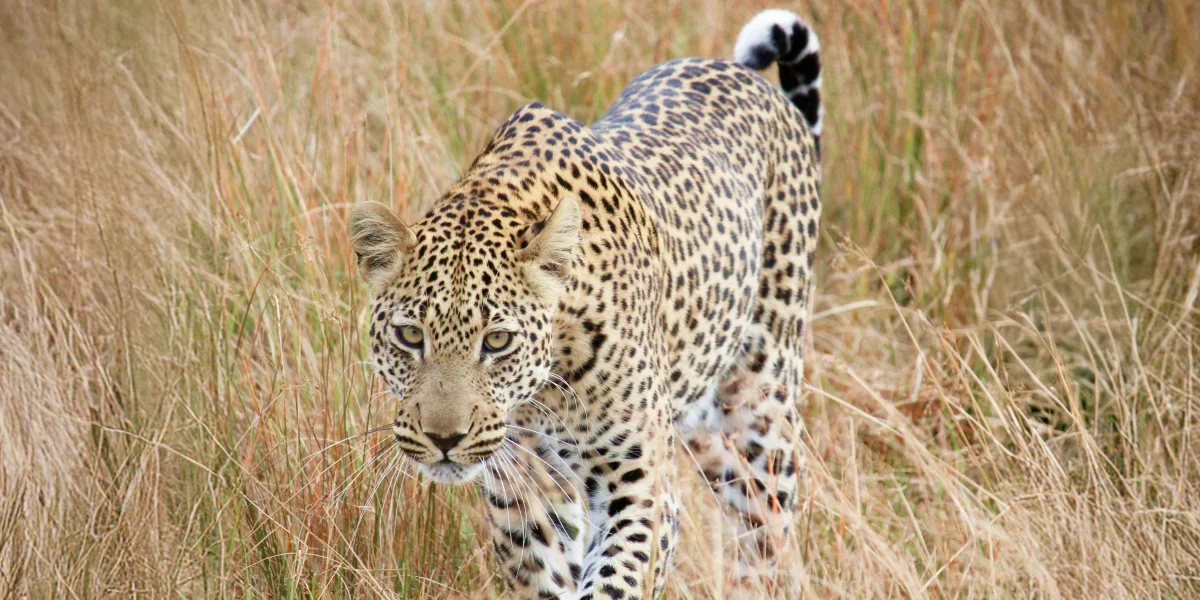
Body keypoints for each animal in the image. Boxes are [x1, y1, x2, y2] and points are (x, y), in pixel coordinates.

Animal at [349, 9, 822, 599]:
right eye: (410, 336)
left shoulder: (641, 486)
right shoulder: (524, 498)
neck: (547, 388)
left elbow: (617, 577)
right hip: (701, 424)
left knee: (766, 536)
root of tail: (747, 78)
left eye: (497, 341)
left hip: (761, 410)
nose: (444, 440)